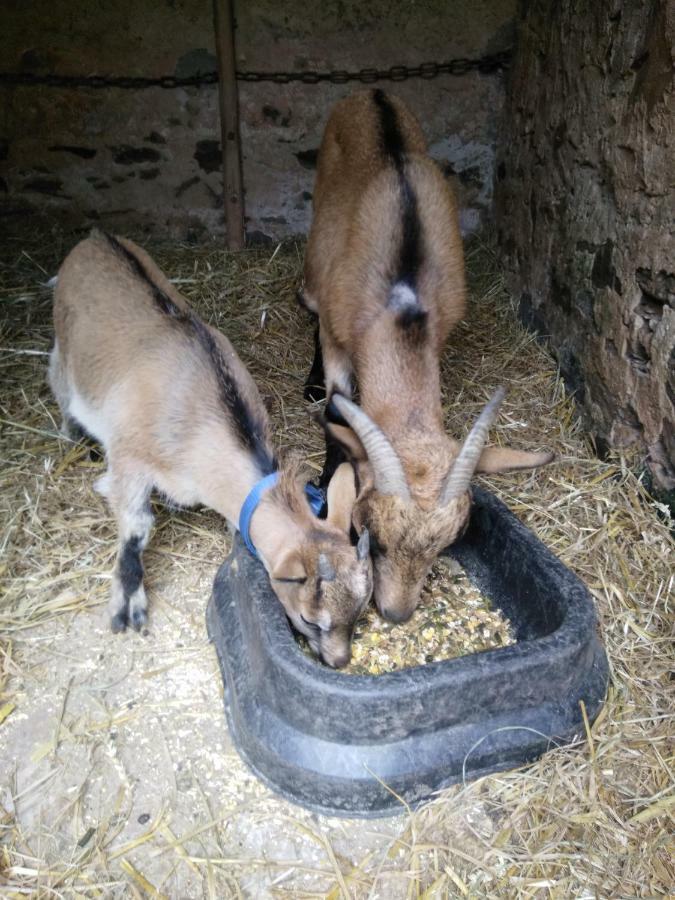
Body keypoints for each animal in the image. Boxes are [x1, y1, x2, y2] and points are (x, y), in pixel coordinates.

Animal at [302, 91, 556, 624]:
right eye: (367, 531)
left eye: (447, 543)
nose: (396, 613)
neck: (403, 306)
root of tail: (370, 93)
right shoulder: (337, 335)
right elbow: (336, 412)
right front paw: (327, 475)